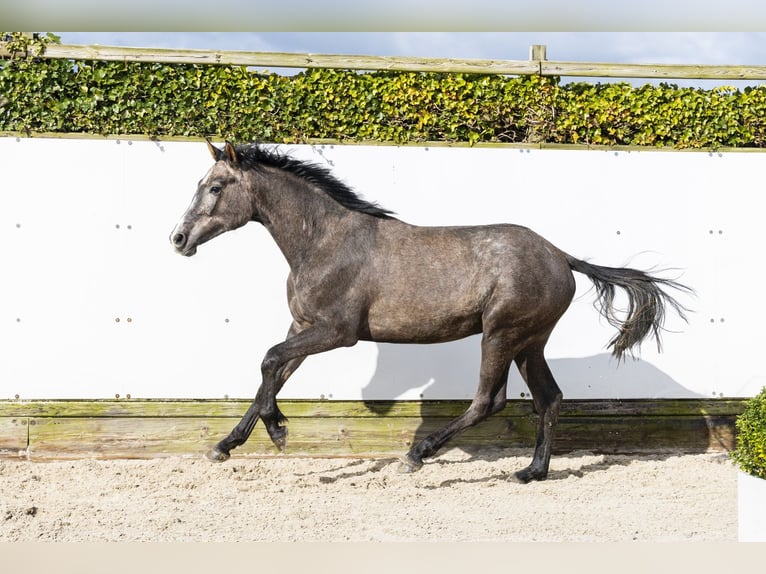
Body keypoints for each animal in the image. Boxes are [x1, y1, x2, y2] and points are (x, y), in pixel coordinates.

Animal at [170, 140, 690, 483]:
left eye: (215, 187)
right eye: (201, 184)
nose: (178, 239)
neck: (323, 241)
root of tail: (561, 256)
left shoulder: (336, 331)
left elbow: (269, 359)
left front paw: (277, 432)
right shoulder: (304, 325)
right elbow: (274, 372)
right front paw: (227, 445)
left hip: (500, 334)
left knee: (488, 401)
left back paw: (417, 455)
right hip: (529, 341)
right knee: (549, 398)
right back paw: (531, 471)